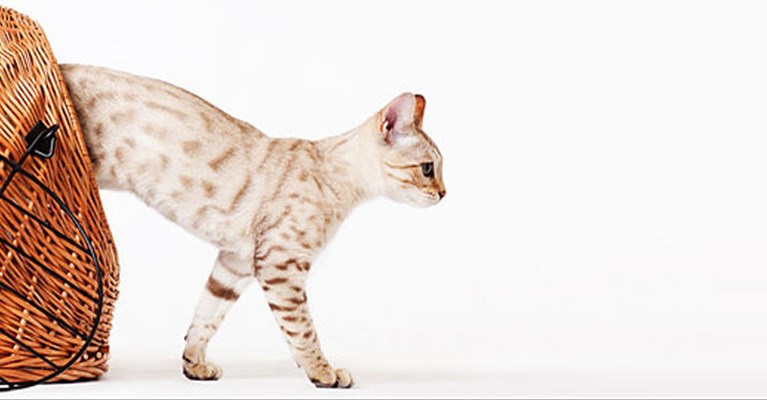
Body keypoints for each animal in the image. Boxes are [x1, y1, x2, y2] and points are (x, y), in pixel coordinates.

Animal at [63, 65, 448, 388]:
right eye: (428, 168)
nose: (445, 194)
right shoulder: (281, 264)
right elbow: (303, 330)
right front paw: (323, 372)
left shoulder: (235, 262)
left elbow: (206, 315)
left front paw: (194, 363)